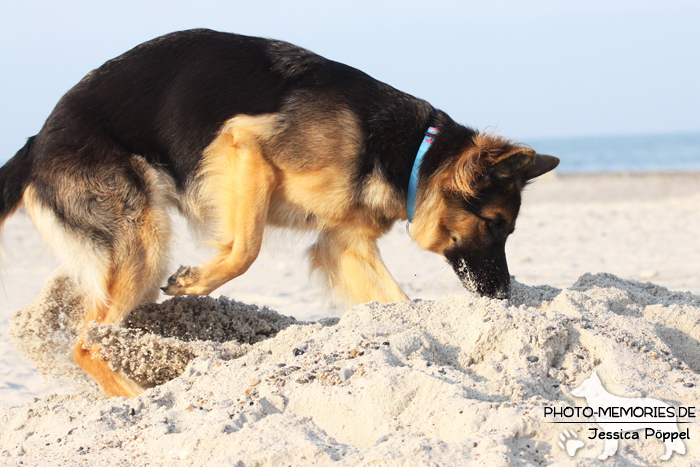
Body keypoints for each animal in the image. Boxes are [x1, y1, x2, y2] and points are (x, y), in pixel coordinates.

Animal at [0, 29, 556, 396]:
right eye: (495, 226)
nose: (502, 296)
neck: (412, 150)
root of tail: (35, 143)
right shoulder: (244, 145)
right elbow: (246, 248)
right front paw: (195, 281)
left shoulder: (343, 246)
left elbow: (399, 306)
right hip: (143, 237)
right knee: (85, 341)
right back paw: (136, 396)